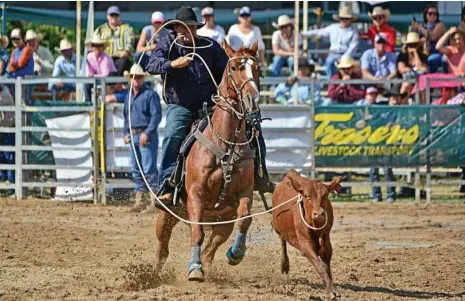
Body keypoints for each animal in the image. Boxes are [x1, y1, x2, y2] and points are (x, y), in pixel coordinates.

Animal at [153, 40, 260, 282]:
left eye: (258, 68)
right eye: (234, 68)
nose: (252, 99)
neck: (226, 142)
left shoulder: (246, 191)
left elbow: (244, 219)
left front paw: (236, 253)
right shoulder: (196, 194)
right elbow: (197, 233)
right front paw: (194, 269)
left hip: (222, 221)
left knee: (212, 247)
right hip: (167, 214)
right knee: (163, 247)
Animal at [270, 170, 342, 298]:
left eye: (325, 196)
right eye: (307, 197)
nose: (319, 214)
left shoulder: (327, 244)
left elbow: (326, 267)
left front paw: (332, 287)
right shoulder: (305, 245)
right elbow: (320, 266)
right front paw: (331, 290)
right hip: (278, 227)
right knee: (283, 241)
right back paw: (284, 265)